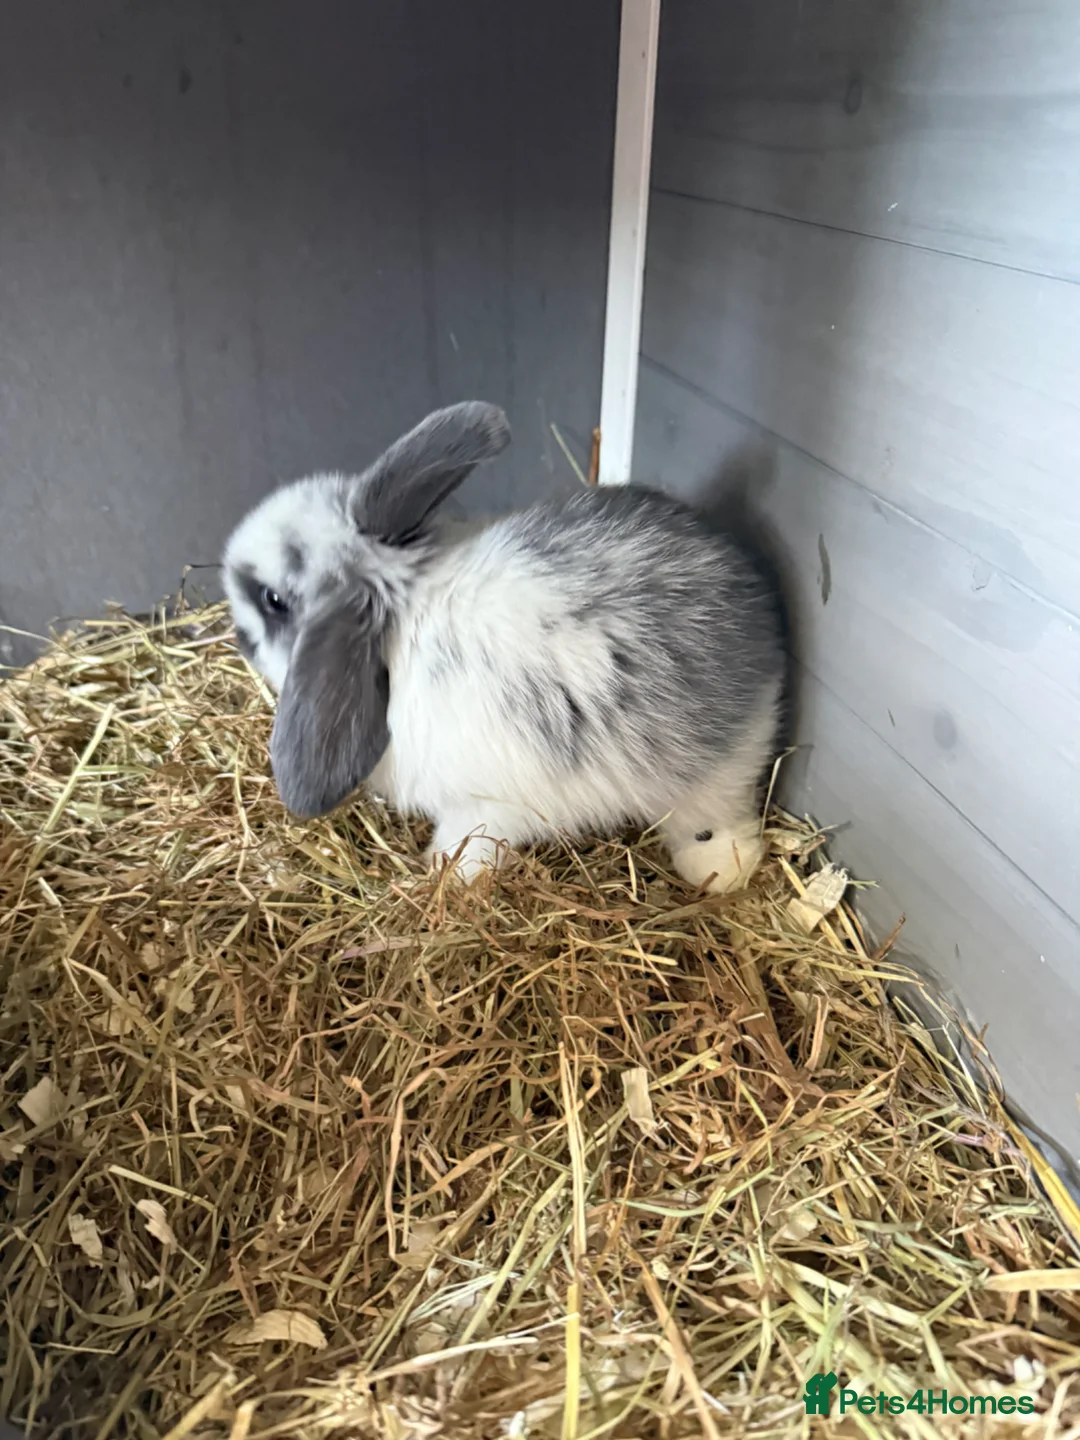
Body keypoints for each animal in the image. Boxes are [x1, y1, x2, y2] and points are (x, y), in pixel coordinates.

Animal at [222, 401, 786, 894]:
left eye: (273, 600)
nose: (238, 635)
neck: (403, 604)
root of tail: (763, 621)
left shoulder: (481, 807)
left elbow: (466, 849)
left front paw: (439, 878)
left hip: (712, 776)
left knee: (717, 821)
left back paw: (718, 872)